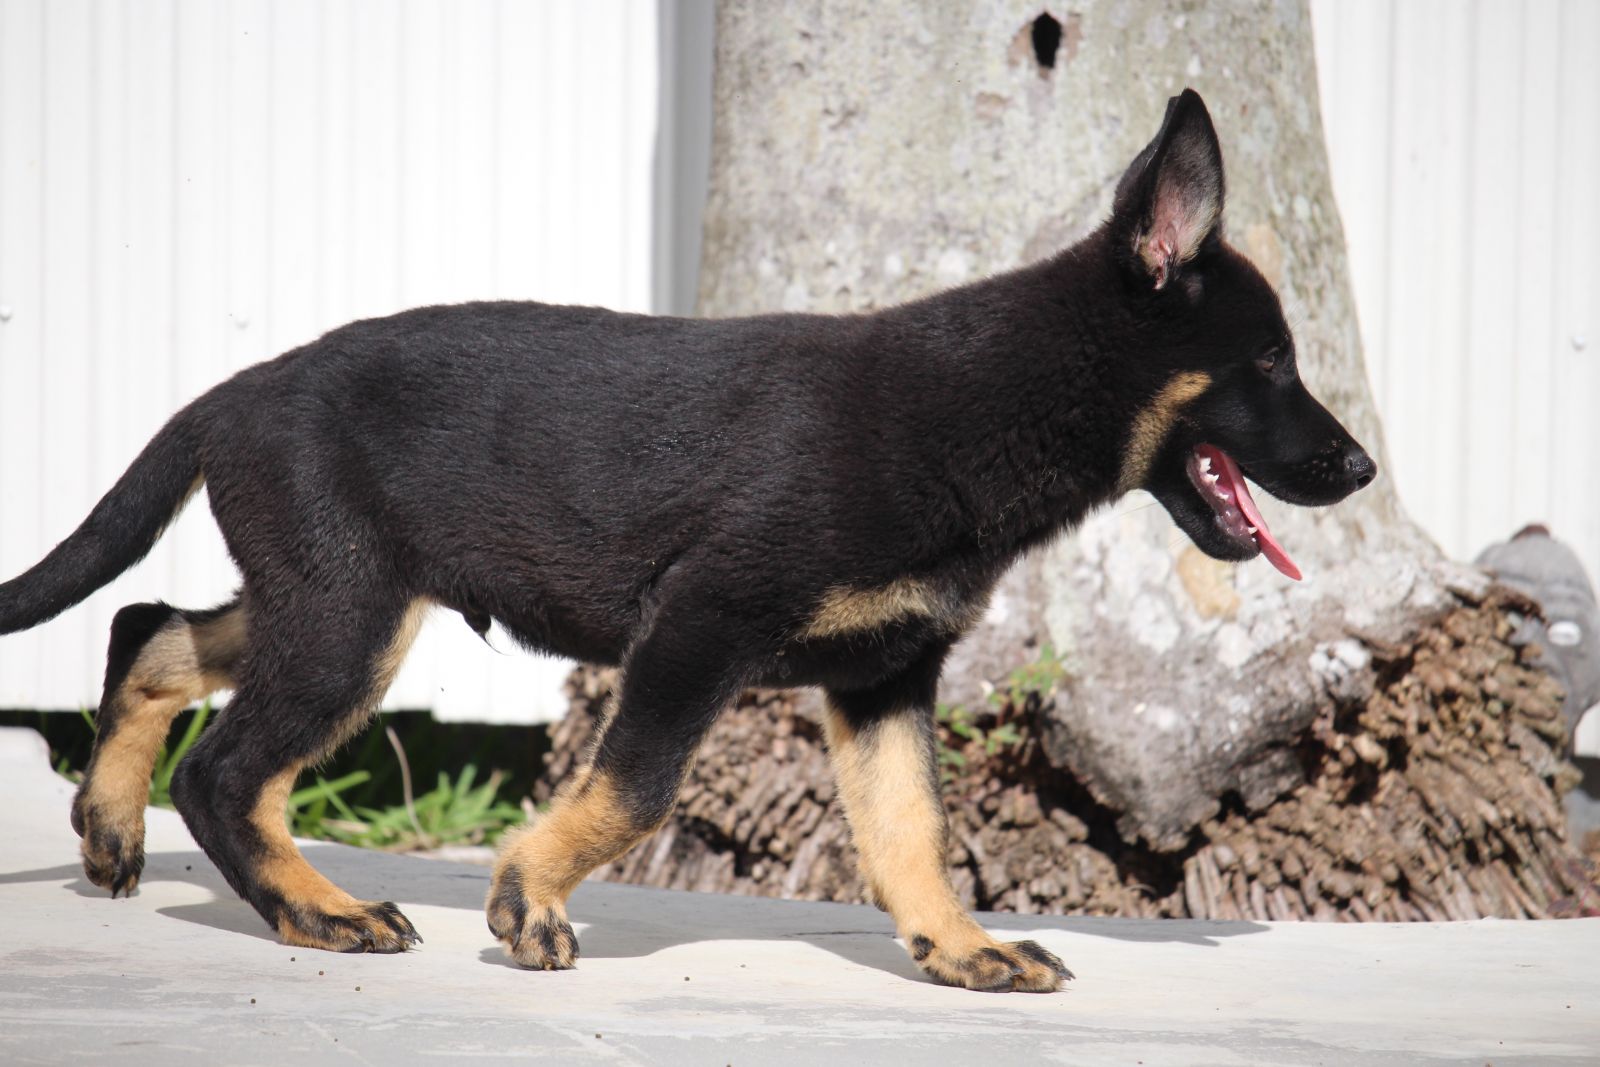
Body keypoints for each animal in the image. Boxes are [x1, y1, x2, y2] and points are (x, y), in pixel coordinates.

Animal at [0, 89, 1376, 991]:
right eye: (1271, 362)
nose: (1360, 468)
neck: (983, 404)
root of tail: (230, 393)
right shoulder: (700, 623)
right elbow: (634, 785)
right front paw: (527, 895)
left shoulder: (886, 675)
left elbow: (910, 828)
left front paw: (959, 947)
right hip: (349, 615)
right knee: (227, 767)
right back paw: (317, 911)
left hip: (333, 594)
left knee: (152, 632)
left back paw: (113, 827)